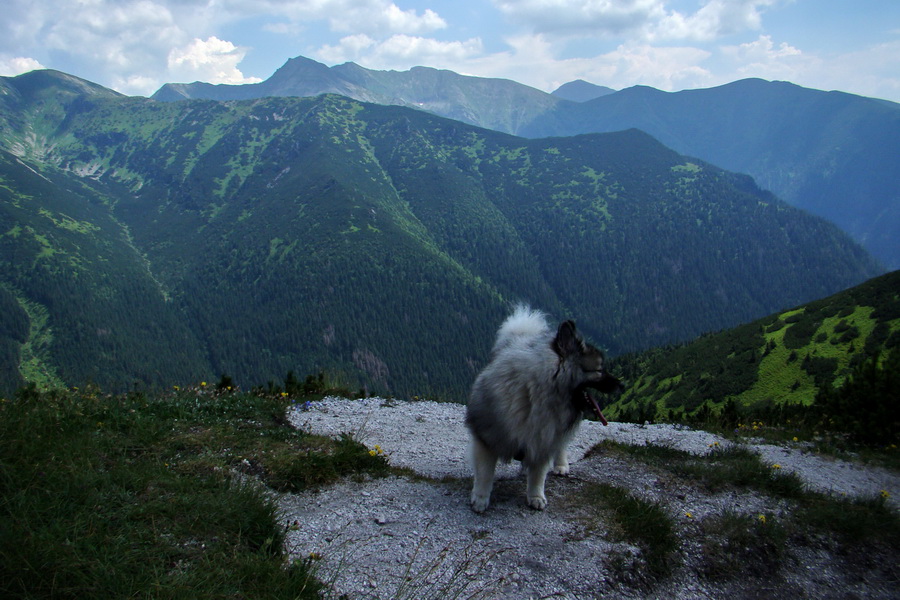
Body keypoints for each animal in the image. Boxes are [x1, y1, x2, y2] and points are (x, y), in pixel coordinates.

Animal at [464, 304, 620, 510]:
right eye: (599, 370)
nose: (622, 385)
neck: (536, 395)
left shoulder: (544, 439)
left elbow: (538, 474)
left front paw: (536, 497)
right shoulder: (487, 437)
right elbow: (484, 473)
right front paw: (480, 499)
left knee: (561, 446)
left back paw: (560, 465)